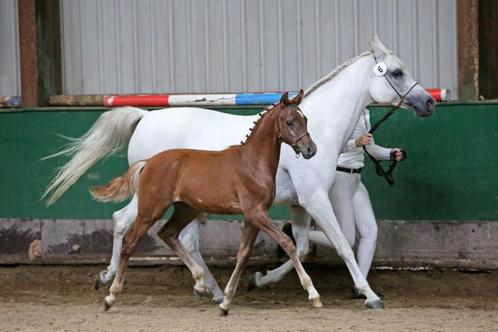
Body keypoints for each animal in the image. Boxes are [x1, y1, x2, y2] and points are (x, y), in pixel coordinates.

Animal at [91, 90, 320, 314]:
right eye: (290, 122)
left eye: (305, 119)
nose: (311, 149)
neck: (252, 163)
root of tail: (148, 163)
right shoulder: (255, 212)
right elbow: (287, 242)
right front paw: (313, 294)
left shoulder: (254, 215)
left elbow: (243, 254)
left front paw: (226, 302)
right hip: (151, 209)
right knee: (130, 240)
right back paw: (110, 295)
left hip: (185, 209)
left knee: (168, 233)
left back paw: (200, 283)